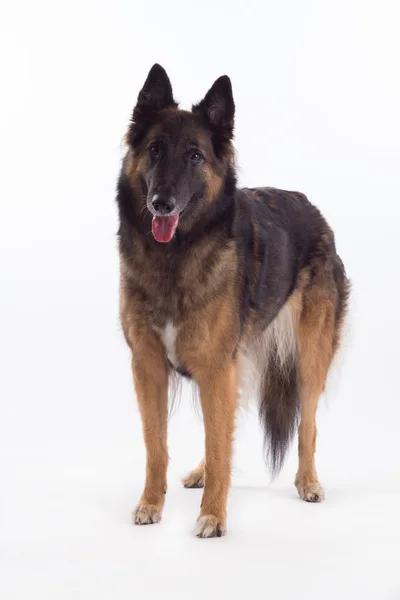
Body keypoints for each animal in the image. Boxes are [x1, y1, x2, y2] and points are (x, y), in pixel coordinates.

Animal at [116, 63, 350, 536]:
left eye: (195, 156)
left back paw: (308, 482)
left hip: (308, 358)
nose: (161, 203)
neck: (174, 257)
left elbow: (221, 443)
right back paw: (202, 472)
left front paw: (213, 515)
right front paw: (151, 503)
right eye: (155, 150)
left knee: (307, 425)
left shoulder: (215, 366)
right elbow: (157, 445)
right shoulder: (149, 366)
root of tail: (316, 212)